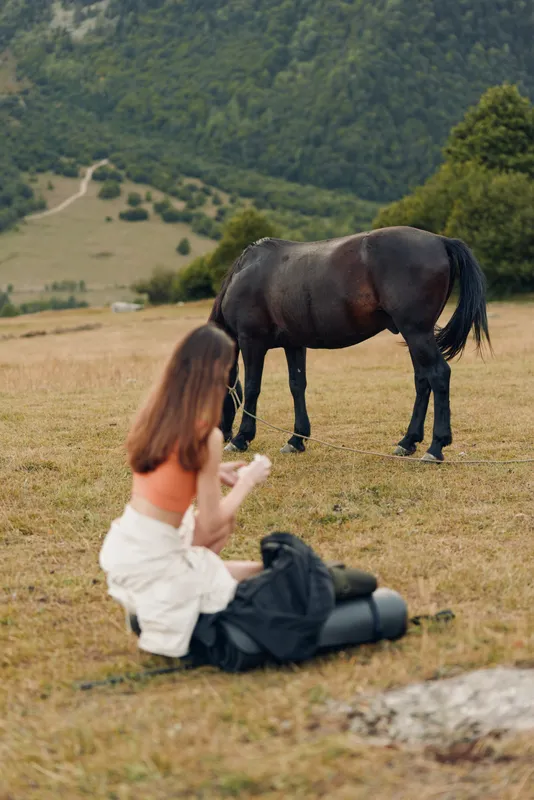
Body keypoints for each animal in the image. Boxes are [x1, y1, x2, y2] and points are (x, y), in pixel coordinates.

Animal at [208, 225, 491, 462]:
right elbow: (297, 386)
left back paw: (435, 447)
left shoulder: (251, 341)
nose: (220, 436)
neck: (247, 272)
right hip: (415, 336)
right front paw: (296, 439)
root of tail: (441, 241)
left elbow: (253, 388)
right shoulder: (294, 344)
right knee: (422, 380)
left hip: (417, 333)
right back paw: (408, 441)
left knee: (438, 375)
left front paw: (241, 438)